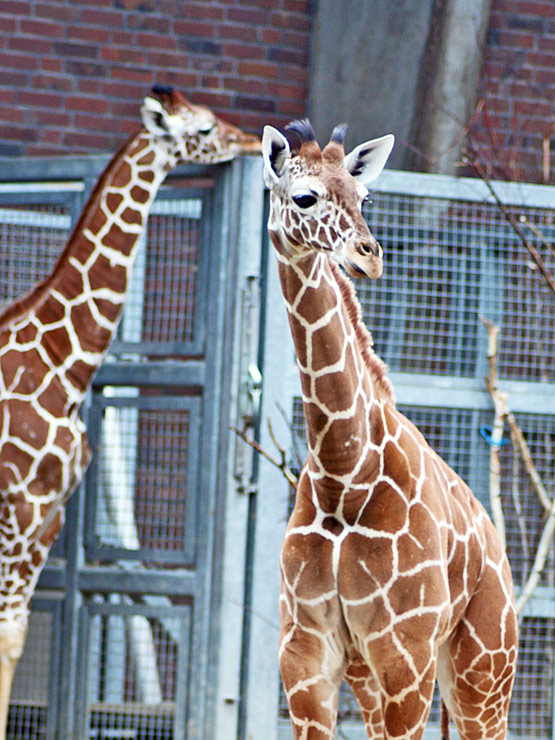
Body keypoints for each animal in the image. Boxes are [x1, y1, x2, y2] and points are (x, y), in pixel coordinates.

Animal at [0, 85, 262, 736]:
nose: (250, 141)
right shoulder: (23, 507)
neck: (64, 359)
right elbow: (7, 633)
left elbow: (13, 635)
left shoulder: (51, 518)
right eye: (204, 128)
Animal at [262, 118, 520, 736]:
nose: (369, 255)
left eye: (365, 199)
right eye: (304, 197)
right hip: (374, 678)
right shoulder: (305, 657)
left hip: (482, 672)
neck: (343, 472)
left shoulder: (406, 654)